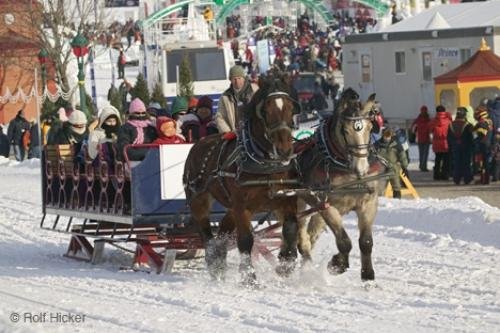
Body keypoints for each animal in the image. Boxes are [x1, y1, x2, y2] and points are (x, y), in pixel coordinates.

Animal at [185, 74, 298, 282]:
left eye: (291, 107)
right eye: (266, 110)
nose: (284, 150)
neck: (266, 164)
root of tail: (197, 145)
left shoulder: (287, 200)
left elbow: (291, 229)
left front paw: (285, 264)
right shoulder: (243, 207)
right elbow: (245, 240)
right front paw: (249, 277)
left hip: (231, 207)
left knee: (223, 231)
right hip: (200, 201)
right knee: (207, 234)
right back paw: (214, 263)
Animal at [290, 87, 386, 278]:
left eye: (370, 127)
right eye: (345, 130)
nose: (361, 168)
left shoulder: (369, 202)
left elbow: (366, 241)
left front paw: (367, 273)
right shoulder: (326, 205)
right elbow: (343, 240)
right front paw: (338, 264)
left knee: (311, 235)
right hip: (299, 201)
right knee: (301, 237)